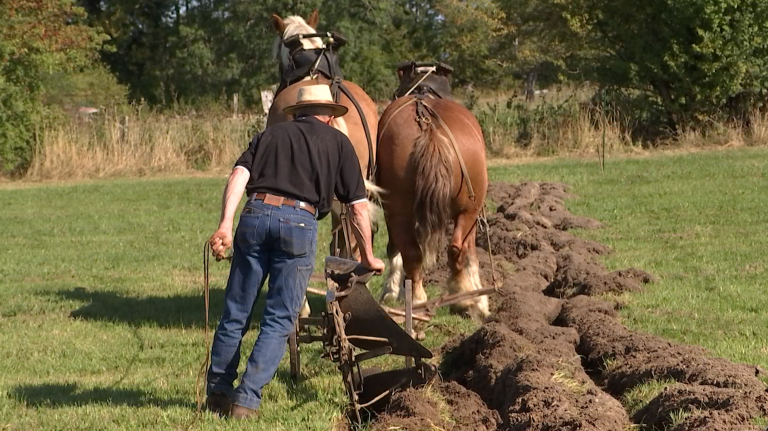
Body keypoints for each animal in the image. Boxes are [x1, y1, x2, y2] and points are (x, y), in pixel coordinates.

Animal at [376, 60, 488, 318]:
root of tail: (428, 127)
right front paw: (478, 298)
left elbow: (395, 249)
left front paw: (391, 290)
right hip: (470, 208)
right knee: (457, 248)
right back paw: (464, 297)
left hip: (398, 210)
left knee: (411, 251)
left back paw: (416, 300)